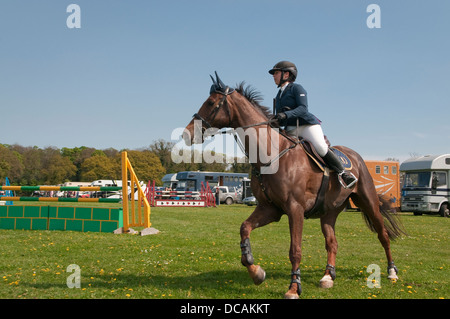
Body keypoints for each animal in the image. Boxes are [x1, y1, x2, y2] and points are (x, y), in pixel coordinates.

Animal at [181, 73, 406, 300]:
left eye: (211, 103)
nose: (186, 134)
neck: (270, 155)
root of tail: (355, 156)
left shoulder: (294, 208)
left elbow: (295, 250)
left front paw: (294, 287)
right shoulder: (270, 209)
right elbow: (244, 228)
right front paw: (256, 272)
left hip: (368, 201)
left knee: (383, 235)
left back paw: (391, 272)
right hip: (329, 212)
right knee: (332, 242)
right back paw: (328, 277)